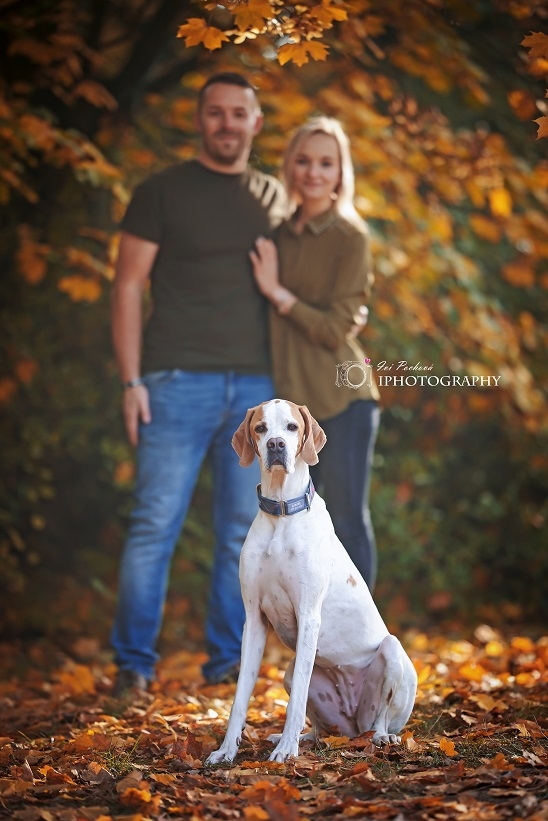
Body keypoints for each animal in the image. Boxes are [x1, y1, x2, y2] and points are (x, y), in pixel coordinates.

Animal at [206, 399, 417, 764]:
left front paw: (285, 752)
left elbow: (296, 702)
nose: (276, 445)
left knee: (380, 718)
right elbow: (240, 698)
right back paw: (301, 737)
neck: (280, 512)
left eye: (292, 427)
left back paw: (379, 737)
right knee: (319, 726)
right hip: (290, 673)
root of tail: (351, 727)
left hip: (392, 653)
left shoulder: (308, 615)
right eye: (260, 428)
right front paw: (226, 750)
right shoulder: (254, 621)